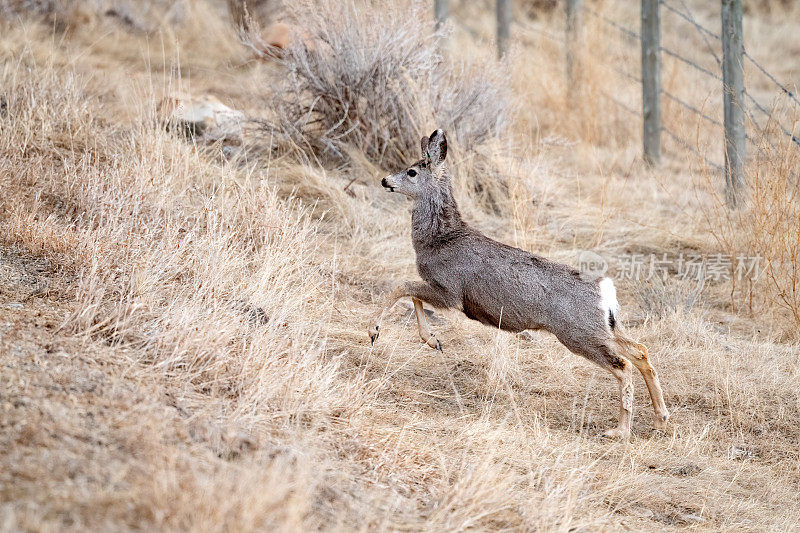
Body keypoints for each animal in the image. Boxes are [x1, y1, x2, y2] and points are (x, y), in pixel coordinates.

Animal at [368, 128, 668, 436]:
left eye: (412, 171)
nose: (385, 180)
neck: (440, 238)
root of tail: (605, 292)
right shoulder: (442, 291)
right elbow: (413, 294)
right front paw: (432, 340)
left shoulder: (450, 291)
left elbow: (402, 286)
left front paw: (374, 331)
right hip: (604, 328)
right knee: (640, 351)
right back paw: (660, 418)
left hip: (579, 333)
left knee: (623, 366)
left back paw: (620, 430)